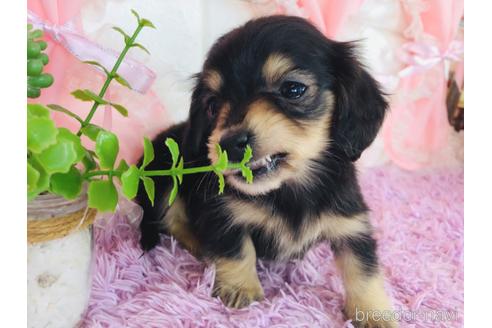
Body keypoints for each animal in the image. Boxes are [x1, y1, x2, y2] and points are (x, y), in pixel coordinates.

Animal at [136, 15, 398, 328]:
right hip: (164, 177)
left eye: (293, 89)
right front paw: (240, 287)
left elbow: (363, 269)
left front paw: (373, 312)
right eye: (212, 105)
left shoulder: (352, 225)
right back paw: (200, 245)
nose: (228, 143)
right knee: (170, 219)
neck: (288, 189)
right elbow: (236, 248)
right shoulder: (224, 214)